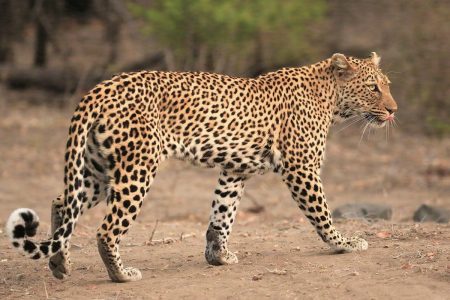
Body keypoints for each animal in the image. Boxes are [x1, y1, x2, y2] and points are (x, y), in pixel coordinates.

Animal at [5, 51, 396, 282]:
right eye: (373, 88)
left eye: (387, 85)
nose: (394, 110)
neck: (332, 100)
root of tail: (98, 89)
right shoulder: (302, 168)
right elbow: (322, 213)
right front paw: (344, 242)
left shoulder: (235, 170)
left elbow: (222, 214)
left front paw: (218, 256)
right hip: (137, 168)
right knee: (106, 229)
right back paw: (122, 274)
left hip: (98, 169)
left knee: (61, 203)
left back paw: (60, 264)